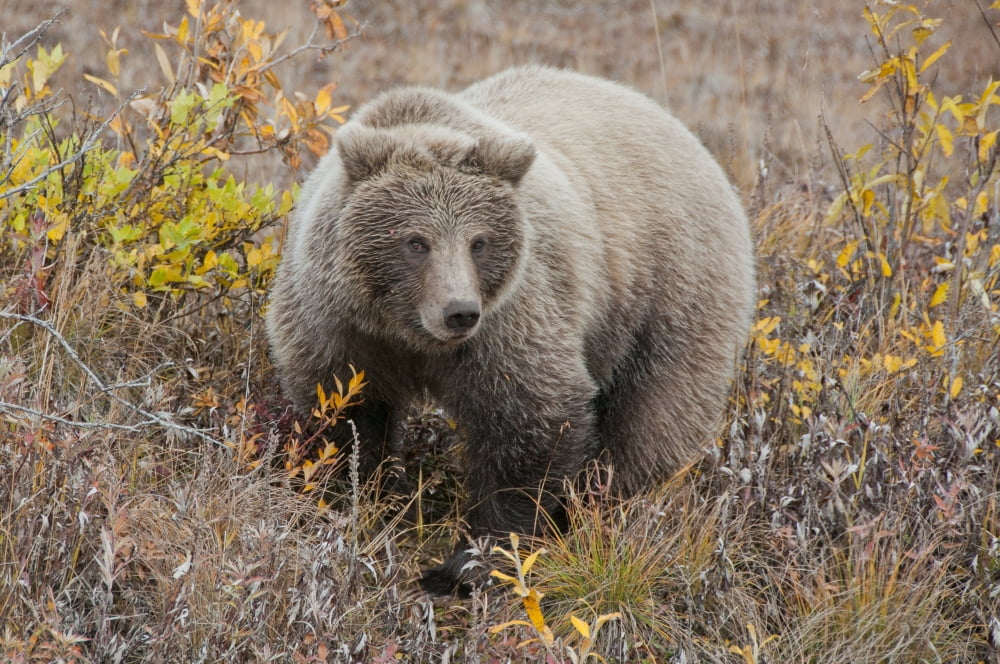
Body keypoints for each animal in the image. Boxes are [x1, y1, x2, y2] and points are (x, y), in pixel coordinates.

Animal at [265, 65, 756, 594]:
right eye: (415, 241)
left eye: (478, 242)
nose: (459, 311)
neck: (407, 331)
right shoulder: (337, 325)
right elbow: (346, 415)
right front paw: (362, 503)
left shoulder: (510, 322)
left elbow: (531, 418)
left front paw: (469, 564)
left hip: (670, 294)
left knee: (652, 419)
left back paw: (605, 511)